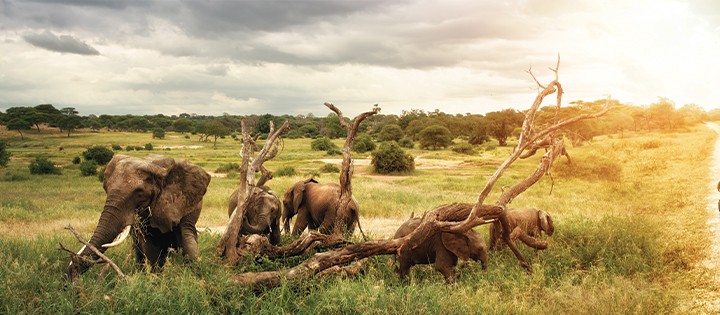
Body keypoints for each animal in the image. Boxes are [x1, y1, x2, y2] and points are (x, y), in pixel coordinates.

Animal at [67, 154, 211, 280]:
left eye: (139, 193)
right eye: (105, 188)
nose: (73, 267)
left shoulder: (185, 202)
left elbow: (187, 237)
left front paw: (196, 276)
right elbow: (149, 245)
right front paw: (155, 279)